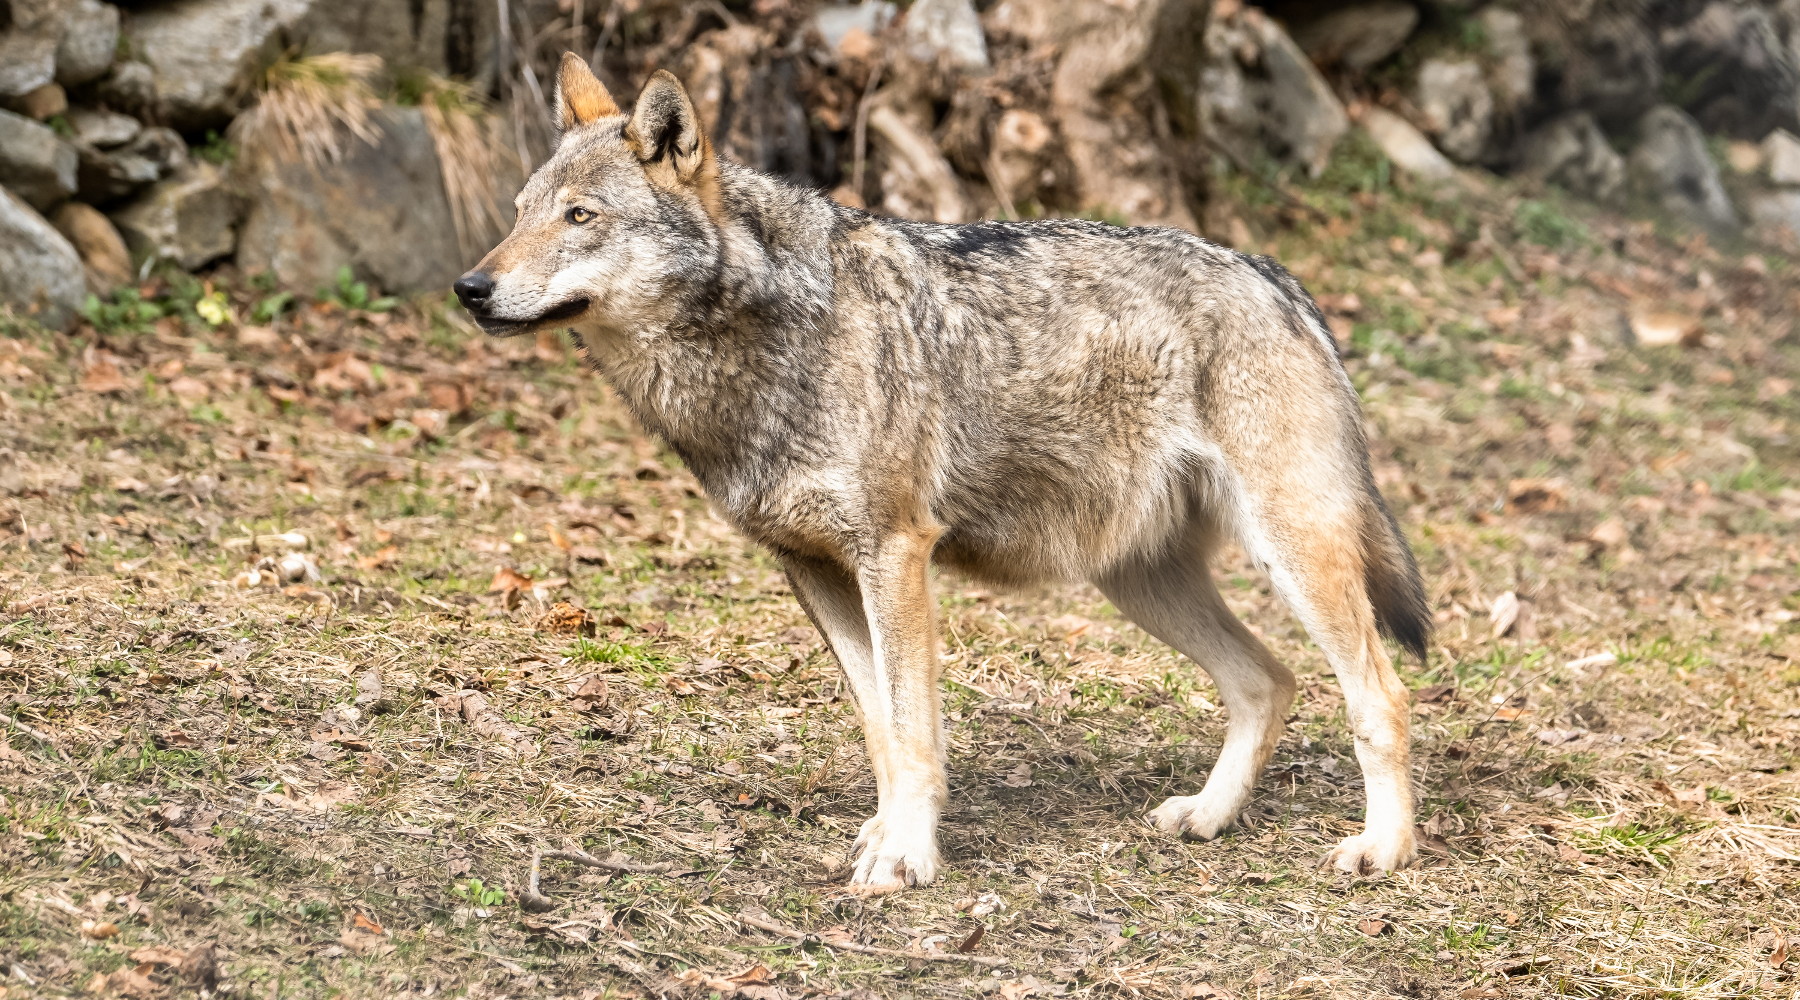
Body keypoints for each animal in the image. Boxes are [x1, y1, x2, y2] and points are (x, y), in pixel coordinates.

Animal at [454, 53, 1431, 891]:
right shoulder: (816, 572)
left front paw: (906, 858)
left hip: (1289, 555)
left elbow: (916, 731)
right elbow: (883, 729)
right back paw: (1209, 816)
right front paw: (889, 837)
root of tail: (1277, 277)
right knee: (1269, 682)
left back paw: (1384, 849)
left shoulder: (895, 556)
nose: (470, 287)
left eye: (581, 217)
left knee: (1379, 694)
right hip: (1139, 581)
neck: (766, 346)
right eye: (518, 211)